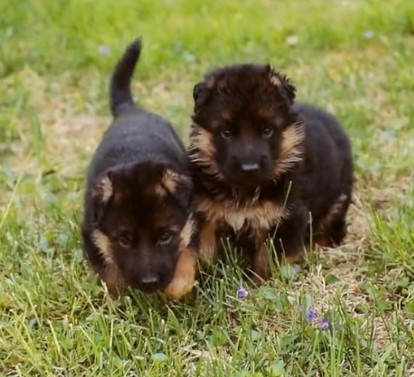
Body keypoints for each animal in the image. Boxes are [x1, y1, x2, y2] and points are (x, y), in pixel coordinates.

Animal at [82, 39, 197, 298]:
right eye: (124, 240)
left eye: (165, 236)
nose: (149, 283)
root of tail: (129, 108)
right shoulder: (91, 233)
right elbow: (110, 274)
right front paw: (119, 296)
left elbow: (186, 253)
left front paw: (177, 287)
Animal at [188, 64, 352, 280]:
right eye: (226, 132)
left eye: (267, 130)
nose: (249, 168)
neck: (245, 191)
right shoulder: (205, 214)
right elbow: (204, 253)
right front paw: (206, 280)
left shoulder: (285, 218)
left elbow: (266, 262)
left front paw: (257, 285)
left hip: (337, 199)